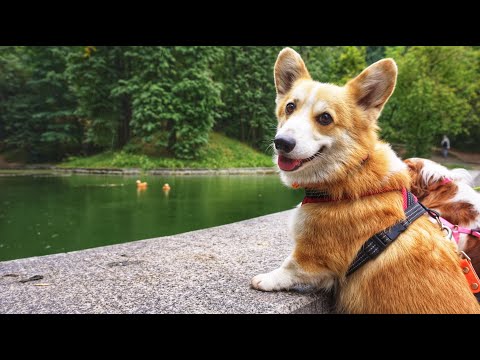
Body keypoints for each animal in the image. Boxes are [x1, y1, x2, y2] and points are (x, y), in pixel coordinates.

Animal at [251, 47, 480, 312]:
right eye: (289, 107)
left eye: (325, 118)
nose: (282, 143)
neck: (350, 172)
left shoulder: (315, 256)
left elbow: (290, 266)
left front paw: (265, 279)